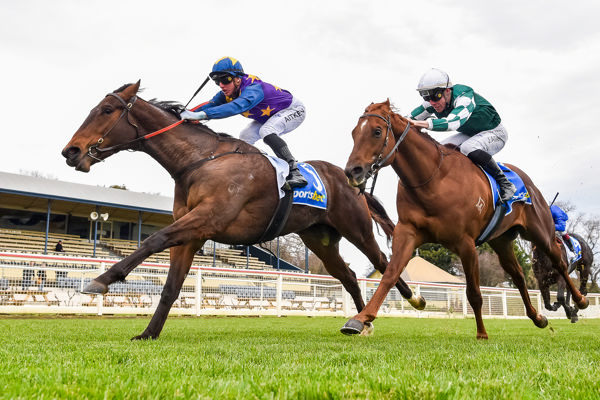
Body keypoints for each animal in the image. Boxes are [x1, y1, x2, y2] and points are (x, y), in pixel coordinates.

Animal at [61, 83, 424, 340]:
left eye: (106, 110)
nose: (70, 151)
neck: (199, 161)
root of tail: (350, 177)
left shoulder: (205, 220)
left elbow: (153, 240)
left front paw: (100, 280)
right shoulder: (192, 233)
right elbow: (171, 285)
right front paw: (148, 333)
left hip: (356, 228)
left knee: (383, 262)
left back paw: (410, 301)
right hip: (319, 240)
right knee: (348, 275)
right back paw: (360, 323)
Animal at [342, 99, 584, 338]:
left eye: (377, 131)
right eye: (353, 133)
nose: (352, 171)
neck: (433, 180)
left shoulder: (465, 243)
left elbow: (474, 293)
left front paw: (482, 334)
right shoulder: (408, 233)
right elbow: (389, 275)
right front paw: (360, 319)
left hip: (540, 232)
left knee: (560, 263)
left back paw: (580, 300)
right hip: (501, 241)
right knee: (518, 275)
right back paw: (538, 317)